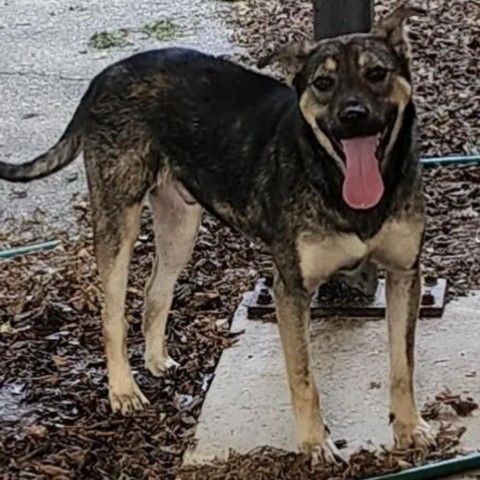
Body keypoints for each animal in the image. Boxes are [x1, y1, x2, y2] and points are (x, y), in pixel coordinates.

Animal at [0, 1, 436, 464]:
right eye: (323, 83)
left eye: (377, 73)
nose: (353, 117)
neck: (336, 179)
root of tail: (107, 74)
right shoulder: (291, 289)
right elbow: (304, 379)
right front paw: (314, 442)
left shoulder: (405, 274)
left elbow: (403, 366)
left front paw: (409, 427)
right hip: (118, 217)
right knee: (112, 311)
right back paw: (123, 390)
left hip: (181, 224)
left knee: (156, 291)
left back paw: (156, 360)